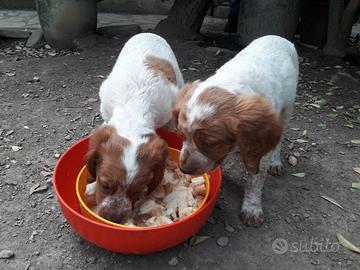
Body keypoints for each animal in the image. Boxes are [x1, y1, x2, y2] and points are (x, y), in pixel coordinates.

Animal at [172, 34, 298, 227]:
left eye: (210, 143)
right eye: (181, 135)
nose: (184, 169)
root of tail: (277, 36)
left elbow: (255, 178)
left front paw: (252, 208)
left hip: (287, 109)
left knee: (279, 139)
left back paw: (275, 162)